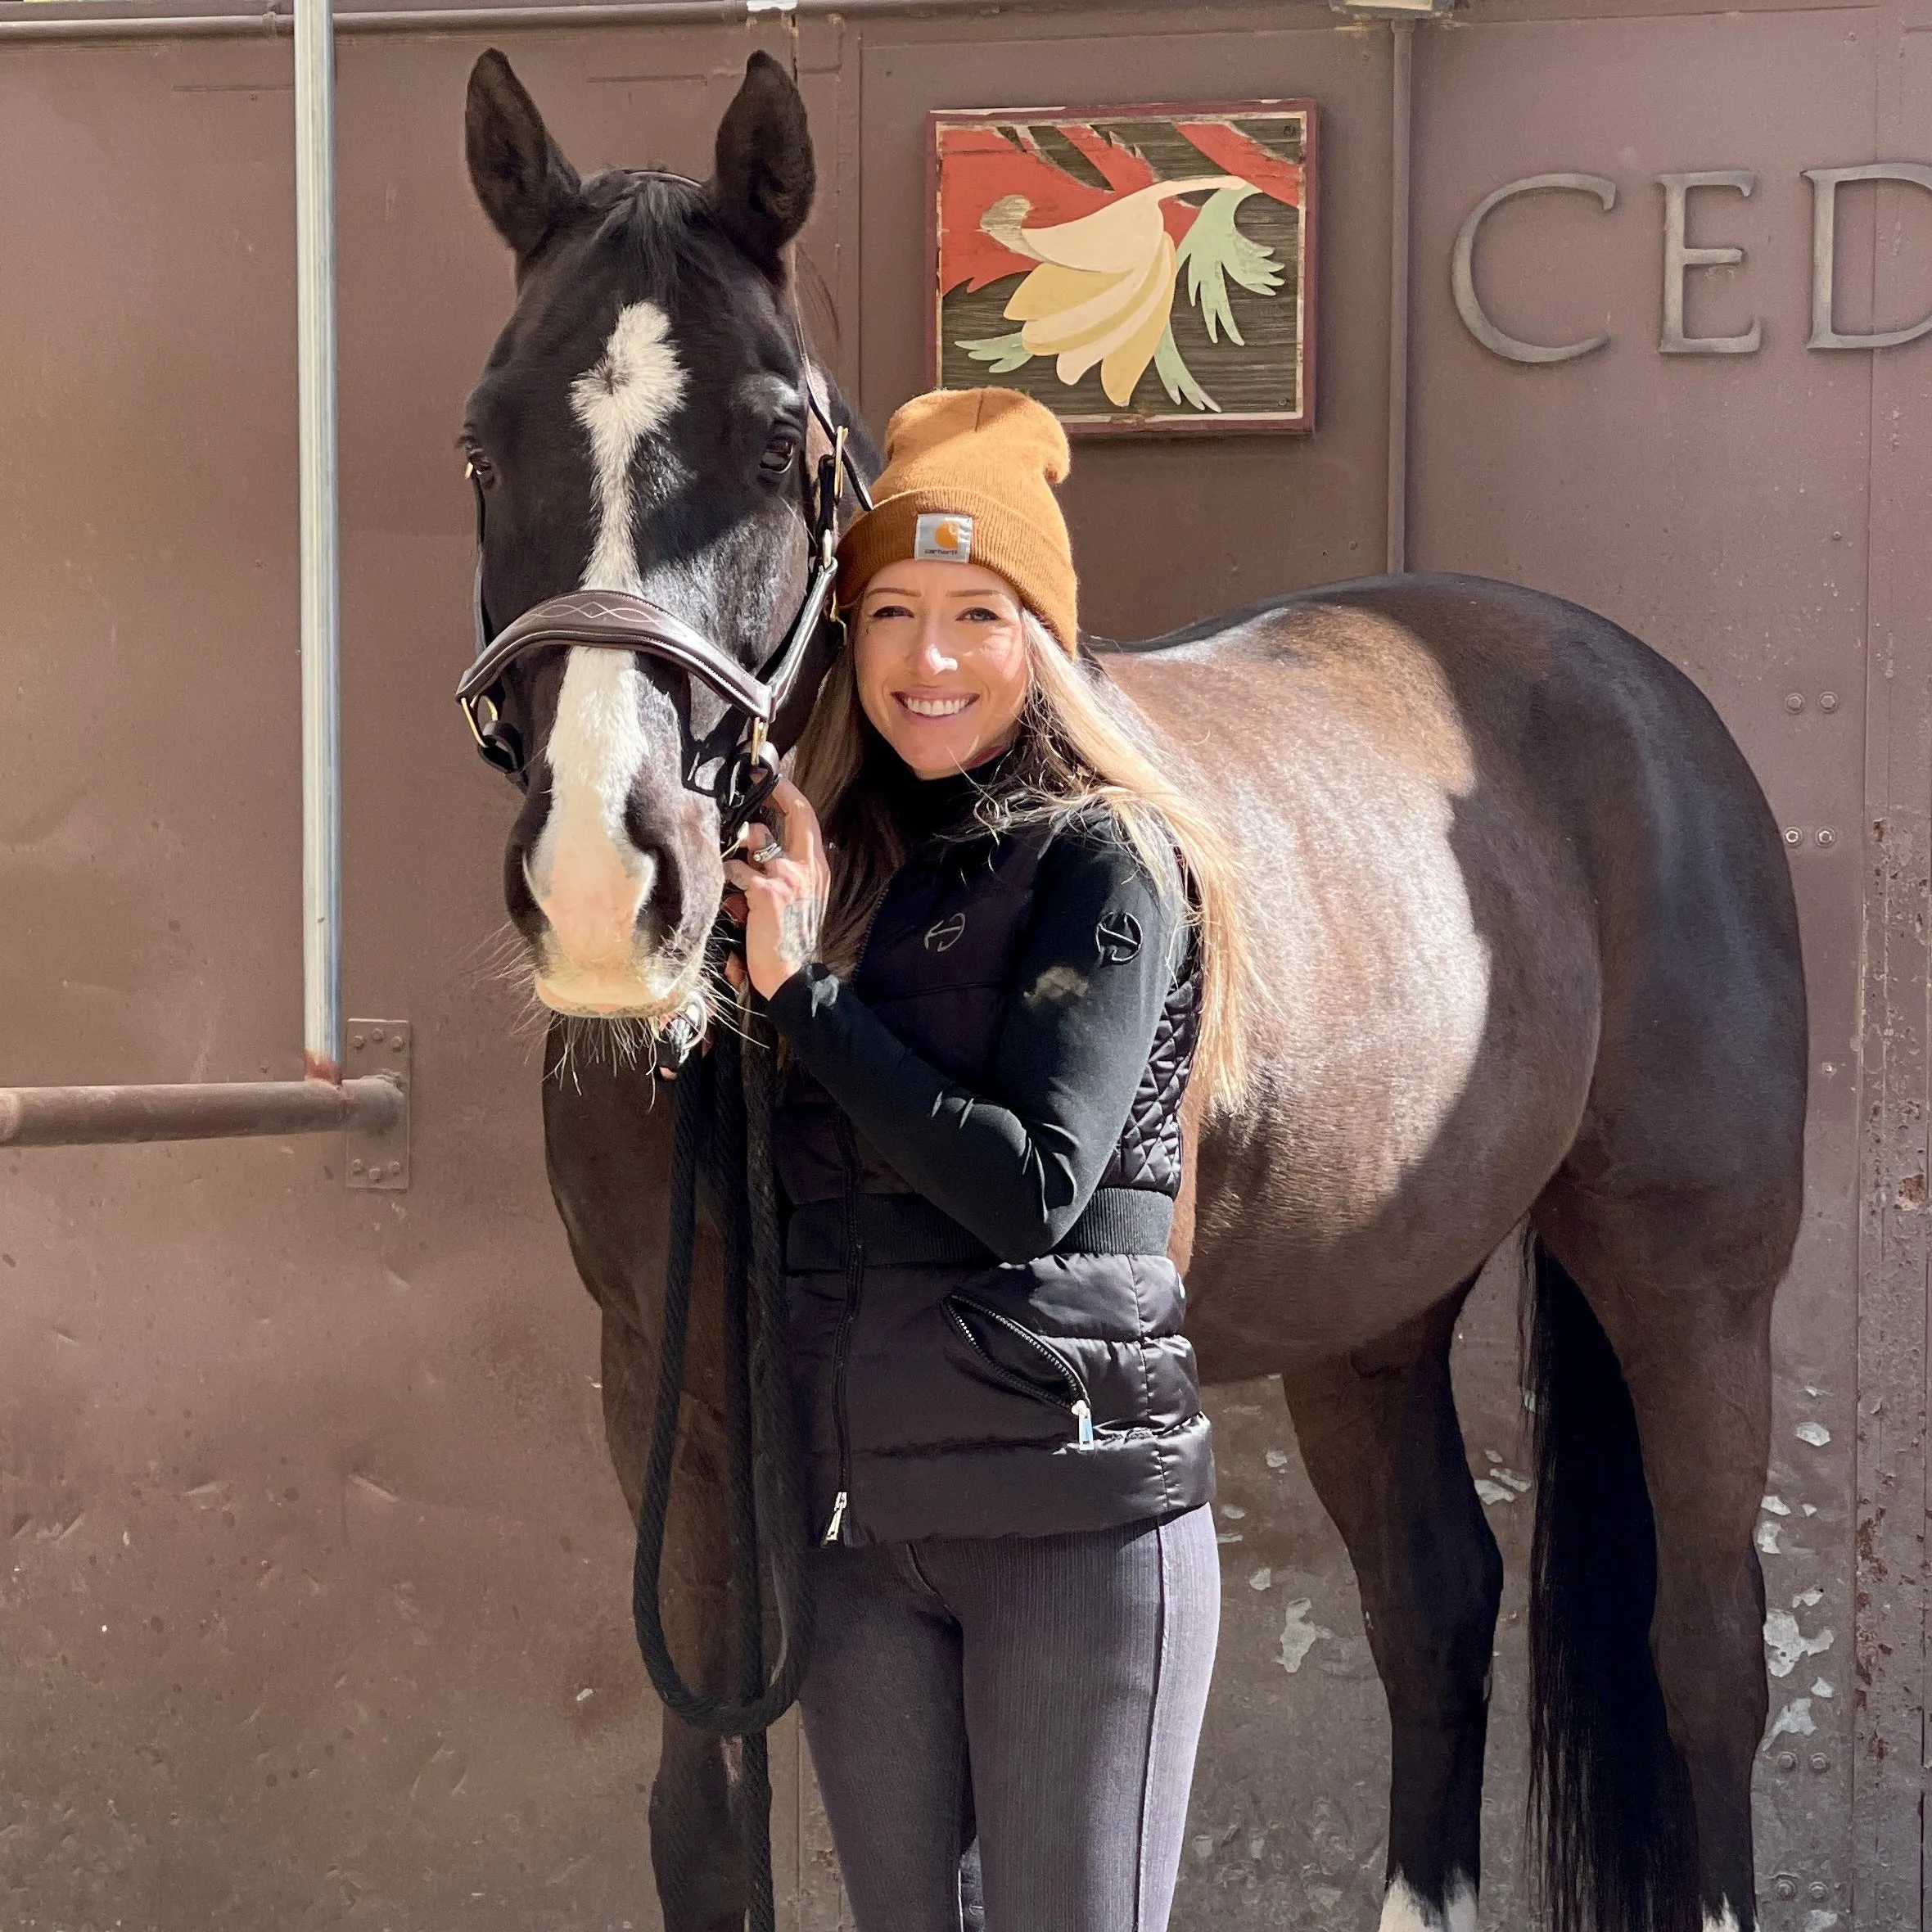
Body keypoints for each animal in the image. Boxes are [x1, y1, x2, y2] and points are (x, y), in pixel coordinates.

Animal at [455, 45, 1808, 1932]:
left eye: (775, 438)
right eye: (484, 439)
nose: (606, 872)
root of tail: (1638, 693)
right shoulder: (678, 1399)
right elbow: (707, 1817)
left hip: (1691, 1284)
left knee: (1702, 1658)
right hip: (1373, 1305)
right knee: (1438, 1600)